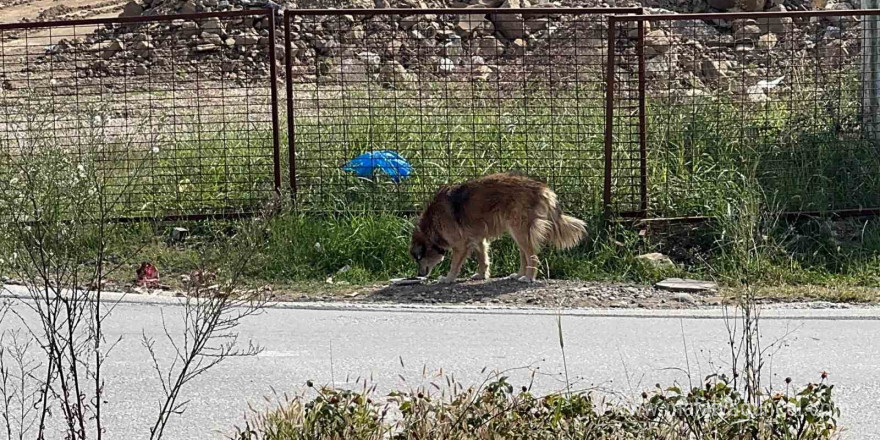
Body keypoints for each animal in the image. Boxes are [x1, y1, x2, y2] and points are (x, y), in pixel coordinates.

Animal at [410, 172, 588, 282]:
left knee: (532, 256)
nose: (418, 275)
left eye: (419, 258)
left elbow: (455, 264)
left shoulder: (460, 245)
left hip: (519, 230)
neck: (431, 225)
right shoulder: (477, 239)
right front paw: (482, 275)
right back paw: (519, 275)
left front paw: (448, 279)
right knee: (524, 256)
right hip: (518, 232)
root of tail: (541, 188)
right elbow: (483, 259)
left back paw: (529, 277)